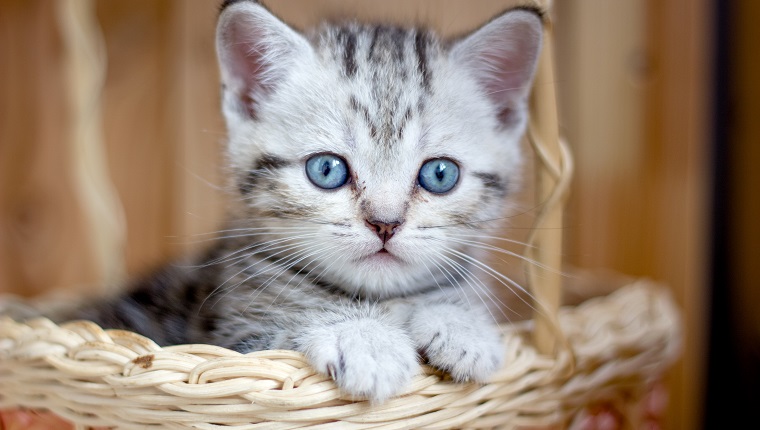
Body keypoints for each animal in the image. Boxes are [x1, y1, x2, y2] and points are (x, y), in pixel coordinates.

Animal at [62, 0, 544, 404]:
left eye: (439, 175)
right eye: (326, 170)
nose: (385, 223)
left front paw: (463, 324)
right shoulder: (231, 343)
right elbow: (284, 327)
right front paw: (364, 339)